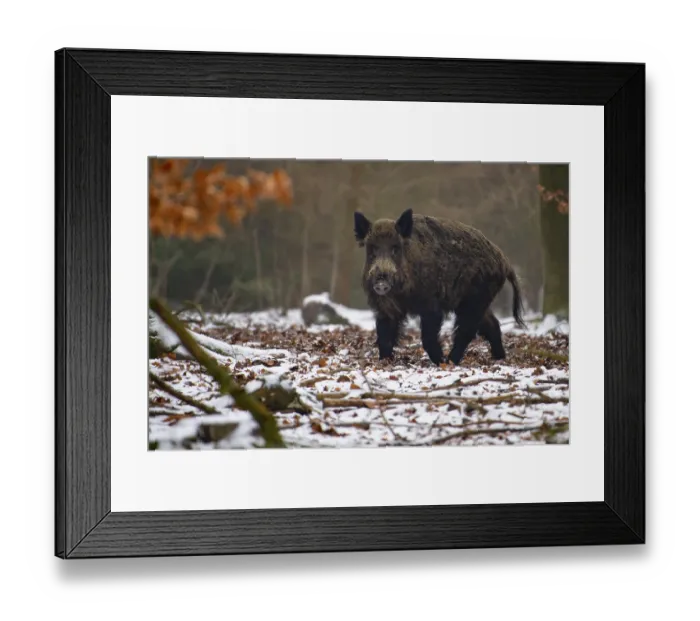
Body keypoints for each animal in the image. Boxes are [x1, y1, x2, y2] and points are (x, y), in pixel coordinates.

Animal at [354, 208, 526, 365]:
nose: (381, 281)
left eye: (395, 248)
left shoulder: (431, 304)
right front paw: (384, 362)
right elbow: (384, 337)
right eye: (372, 248)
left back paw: (450, 361)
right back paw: (499, 358)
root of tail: (504, 261)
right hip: (473, 302)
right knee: (491, 325)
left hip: (476, 299)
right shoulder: (385, 308)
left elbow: (428, 337)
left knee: (467, 331)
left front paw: (439, 361)